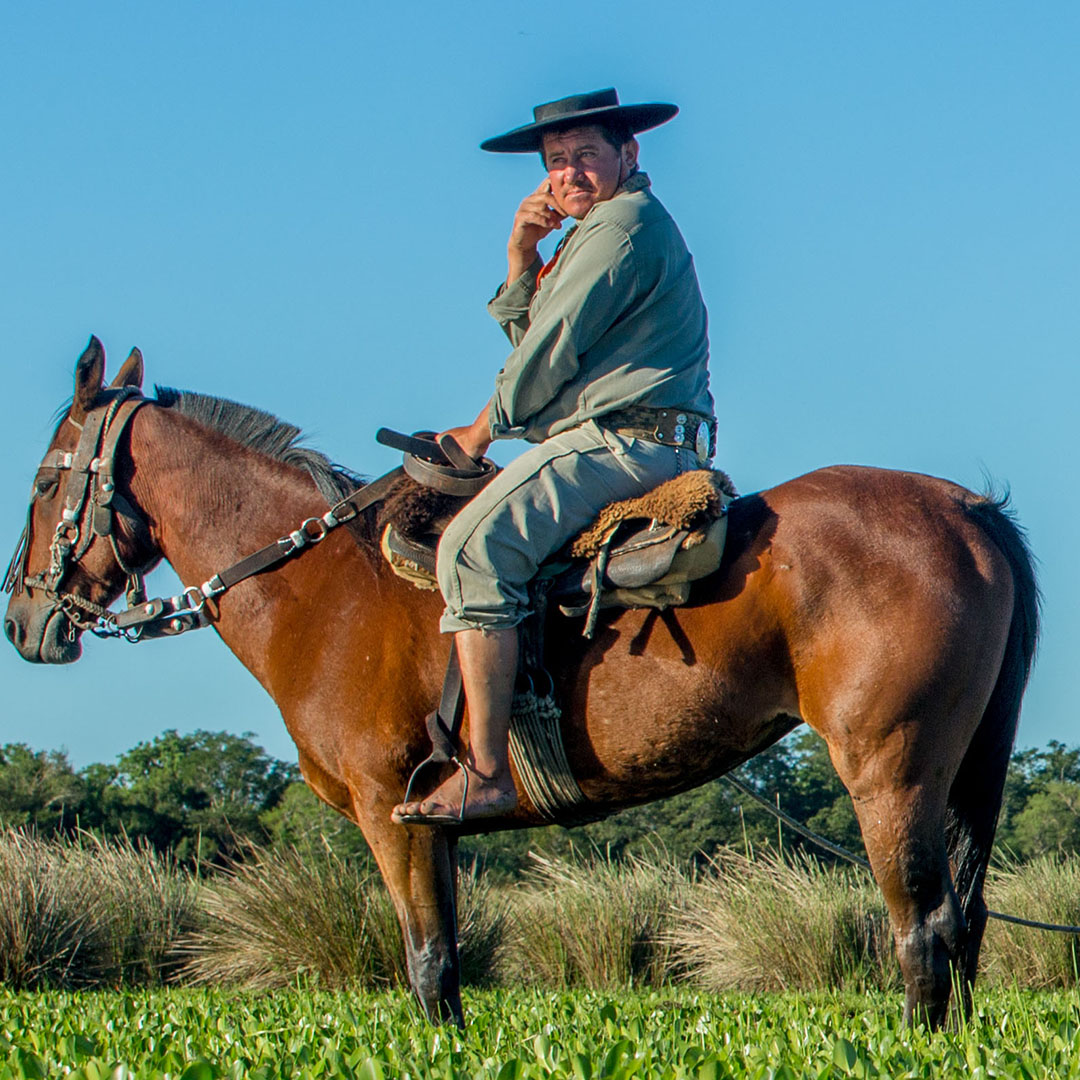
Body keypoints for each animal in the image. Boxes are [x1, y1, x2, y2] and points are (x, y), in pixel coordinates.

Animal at [6, 339, 1036, 1028]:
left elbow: (427, 967)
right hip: (956, 772)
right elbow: (450, 966)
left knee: (924, 928)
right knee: (966, 922)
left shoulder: (393, 816)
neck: (322, 589)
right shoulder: (432, 832)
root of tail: (964, 508)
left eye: (43, 485)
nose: (22, 621)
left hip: (890, 772)